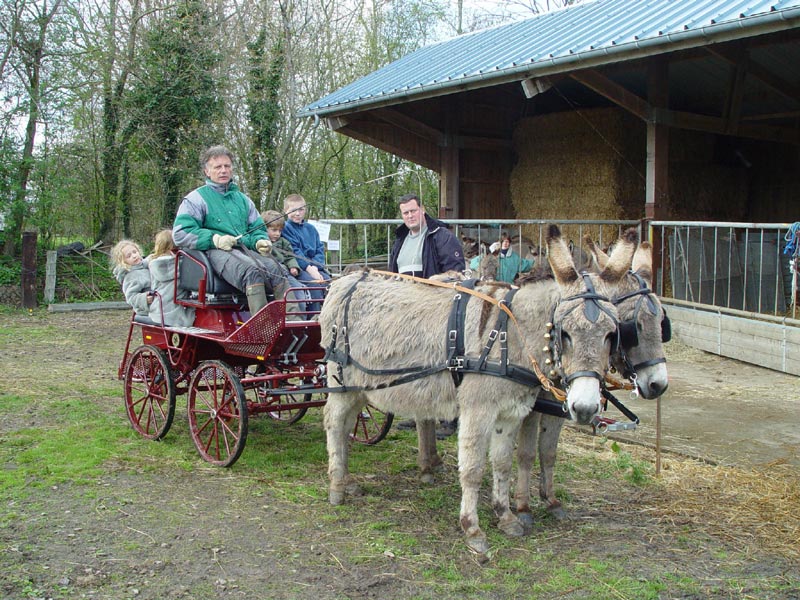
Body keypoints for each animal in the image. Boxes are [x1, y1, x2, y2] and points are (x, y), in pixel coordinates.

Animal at [319, 225, 637, 555]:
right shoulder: (478, 409)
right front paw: (472, 529)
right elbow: (472, 469)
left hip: (362, 388)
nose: (585, 408)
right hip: (341, 381)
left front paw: (505, 516)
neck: (512, 336)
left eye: (613, 334)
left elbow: (502, 463)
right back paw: (336, 488)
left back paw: (347, 480)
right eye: (565, 333)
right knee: (333, 421)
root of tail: (344, 280)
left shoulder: (510, 413)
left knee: (347, 425)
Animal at [514, 233, 670, 524]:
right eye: (630, 326)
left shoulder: (559, 407)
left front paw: (551, 500)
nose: (658, 384)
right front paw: (523, 507)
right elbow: (526, 454)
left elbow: (548, 451)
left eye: (663, 323)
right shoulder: (529, 407)